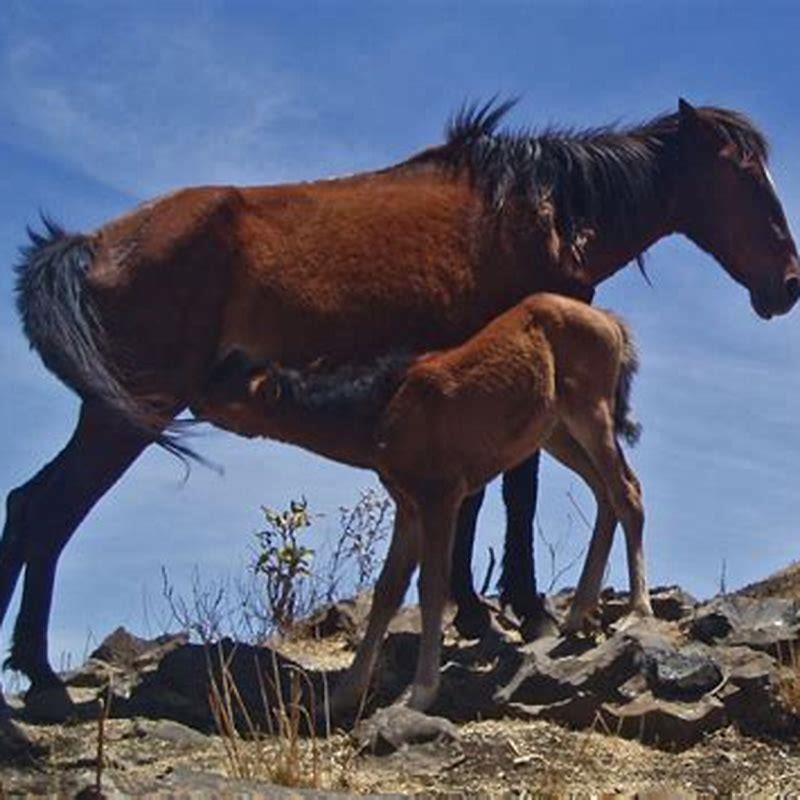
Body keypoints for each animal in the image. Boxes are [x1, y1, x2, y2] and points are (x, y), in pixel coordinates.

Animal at [202, 290, 648, 708]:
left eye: (231, 394)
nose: (194, 393)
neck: (383, 408)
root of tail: (609, 320)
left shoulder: (440, 497)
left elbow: (432, 585)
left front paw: (421, 691)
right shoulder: (409, 505)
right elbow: (387, 590)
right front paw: (346, 693)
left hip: (589, 411)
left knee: (627, 491)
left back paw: (636, 612)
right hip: (556, 431)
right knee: (604, 492)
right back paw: (577, 613)